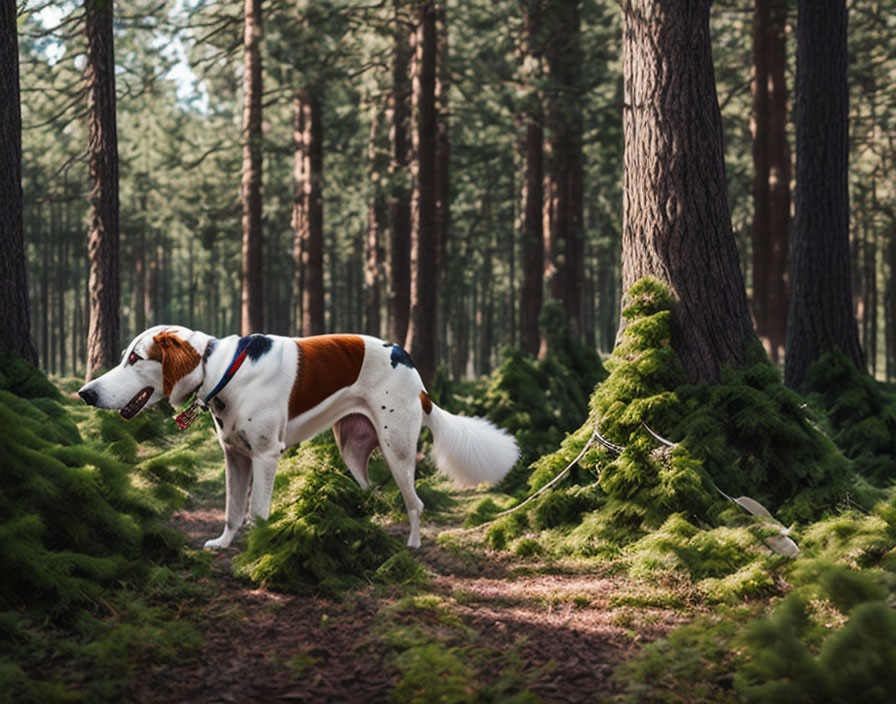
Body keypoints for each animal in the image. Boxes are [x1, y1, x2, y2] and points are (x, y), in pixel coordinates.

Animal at [80, 326, 520, 552]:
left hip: (397, 450)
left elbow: (257, 513)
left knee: (415, 503)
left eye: (135, 359)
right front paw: (224, 543)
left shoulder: (265, 455)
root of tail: (410, 363)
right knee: (368, 492)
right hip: (352, 447)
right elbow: (232, 510)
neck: (220, 368)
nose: (85, 393)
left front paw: (259, 552)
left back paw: (411, 545)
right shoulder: (235, 456)